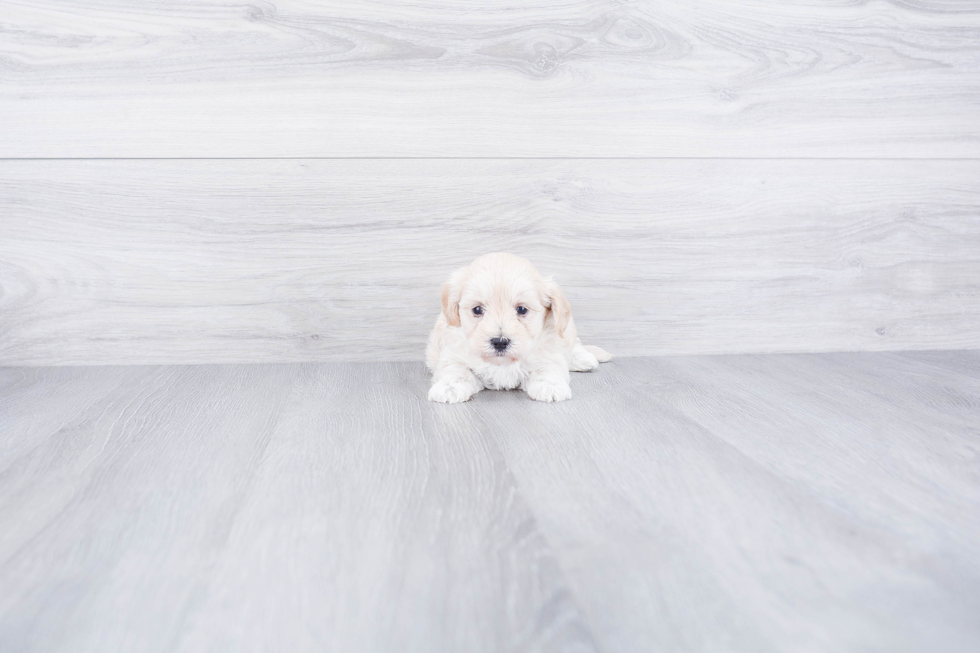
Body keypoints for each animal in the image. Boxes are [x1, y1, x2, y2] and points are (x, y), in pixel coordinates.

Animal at [424, 253, 608, 402]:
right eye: (477, 310)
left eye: (521, 310)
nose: (499, 342)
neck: (502, 363)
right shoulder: (453, 354)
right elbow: (455, 370)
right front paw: (449, 387)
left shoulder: (549, 349)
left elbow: (548, 367)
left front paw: (550, 386)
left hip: (565, 327)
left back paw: (584, 358)